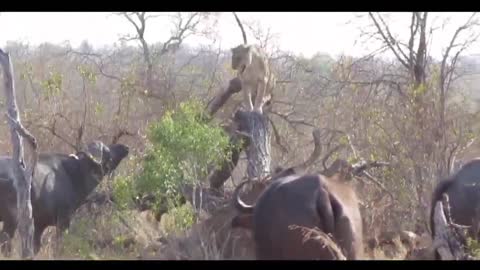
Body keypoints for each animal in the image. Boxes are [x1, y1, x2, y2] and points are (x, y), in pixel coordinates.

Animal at [0, 140, 128, 256]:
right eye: (107, 151)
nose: (124, 147)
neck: (73, 173)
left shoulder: (40, 225)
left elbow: (36, 246)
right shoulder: (63, 221)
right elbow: (59, 246)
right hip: (12, 220)